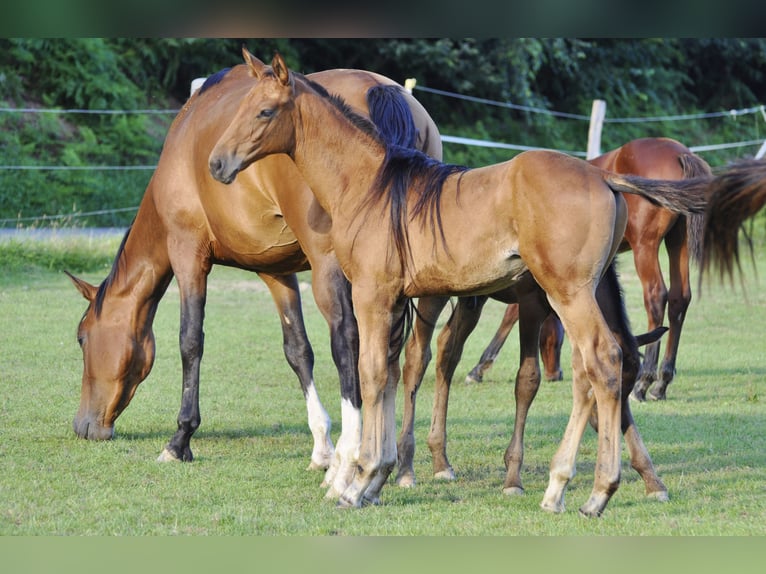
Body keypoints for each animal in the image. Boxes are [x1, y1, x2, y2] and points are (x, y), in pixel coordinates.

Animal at [69, 58, 448, 496]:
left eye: (82, 338)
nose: (83, 426)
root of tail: (379, 90)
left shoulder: (188, 255)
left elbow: (190, 341)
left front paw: (180, 440)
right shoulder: (276, 272)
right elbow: (298, 351)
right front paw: (321, 448)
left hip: (332, 271)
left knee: (349, 344)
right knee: (409, 359)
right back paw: (400, 465)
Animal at [464, 137, 712, 402]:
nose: (555, 374)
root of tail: (680, 153)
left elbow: (511, 313)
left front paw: (478, 368)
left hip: (645, 246)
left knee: (656, 296)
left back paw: (643, 383)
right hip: (677, 241)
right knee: (679, 298)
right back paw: (661, 383)